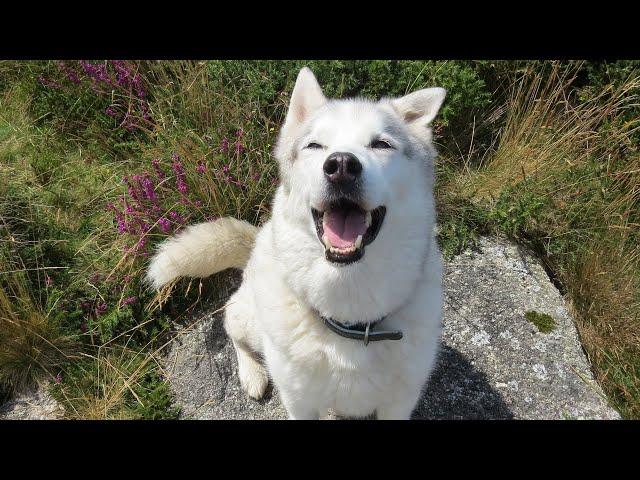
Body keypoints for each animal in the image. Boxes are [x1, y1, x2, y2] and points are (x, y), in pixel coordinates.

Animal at [146, 68, 444, 420]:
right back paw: (252, 373)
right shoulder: (299, 400)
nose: (341, 165)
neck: (349, 312)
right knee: (232, 324)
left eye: (381, 144)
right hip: (250, 319)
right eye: (314, 145)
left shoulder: (399, 401)